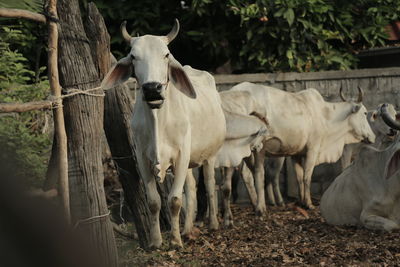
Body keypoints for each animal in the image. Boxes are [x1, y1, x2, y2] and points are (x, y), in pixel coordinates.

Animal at [101, 19, 227, 248]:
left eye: (166, 54)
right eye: (133, 56)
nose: (152, 88)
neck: (157, 119)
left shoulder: (182, 154)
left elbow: (175, 200)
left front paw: (175, 241)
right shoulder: (142, 158)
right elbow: (154, 201)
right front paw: (156, 241)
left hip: (210, 155)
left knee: (210, 184)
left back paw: (212, 224)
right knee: (192, 188)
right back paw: (187, 229)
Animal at [228, 82, 376, 213]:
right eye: (364, 113)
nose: (373, 137)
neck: (325, 116)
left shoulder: (296, 153)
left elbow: (299, 178)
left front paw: (301, 202)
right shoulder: (313, 149)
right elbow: (307, 177)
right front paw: (309, 204)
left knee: (247, 174)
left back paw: (255, 204)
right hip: (259, 148)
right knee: (259, 174)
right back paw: (261, 208)